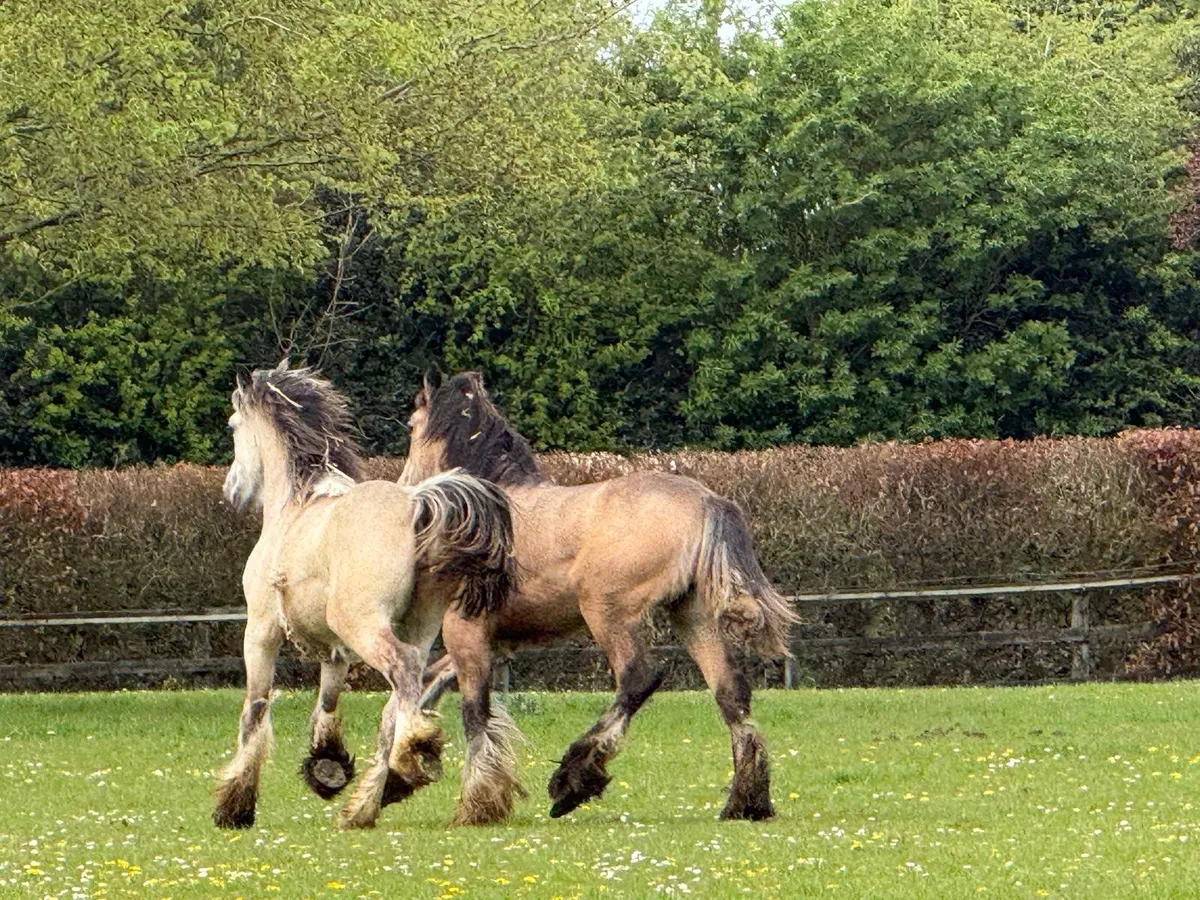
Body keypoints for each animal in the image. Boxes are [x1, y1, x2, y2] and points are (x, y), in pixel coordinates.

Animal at [213, 362, 523, 830]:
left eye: (233, 425)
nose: (232, 491)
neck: (295, 506)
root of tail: (416, 504)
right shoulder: (335, 651)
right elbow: (327, 701)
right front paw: (327, 765)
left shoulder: (261, 632)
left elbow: (256, 708)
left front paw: (236, 803)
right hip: (417, 628)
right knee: (399, 700)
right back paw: (369, 801)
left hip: (367, 627)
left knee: (405, 673)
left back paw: (416, 753)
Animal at [402, 371, 799, 821]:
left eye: (411, 426)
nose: (404, 487)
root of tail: (707, 502)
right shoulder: (496, 641)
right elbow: (429, 688)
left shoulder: (466, 632)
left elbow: (474, 713)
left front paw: (476, 804)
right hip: (690, 614)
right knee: (730, 692)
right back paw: (746, 801)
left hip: (606, 612)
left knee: (638, 679)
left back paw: (572, 780)